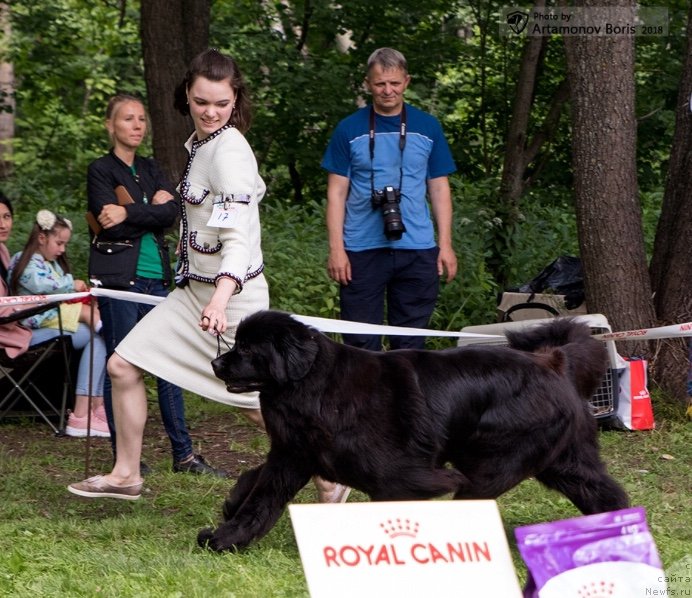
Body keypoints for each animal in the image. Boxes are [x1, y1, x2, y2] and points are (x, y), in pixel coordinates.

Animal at [197, 312, 628, 556]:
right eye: (235, 344)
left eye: (248, 349)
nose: (217, 363)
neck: (315, 387)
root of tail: (554, 362)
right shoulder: (292, 454)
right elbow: (259, 498)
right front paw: (226, 534)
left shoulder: (399, 478)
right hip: (564, 462)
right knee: (605, 493)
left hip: (493, 465)